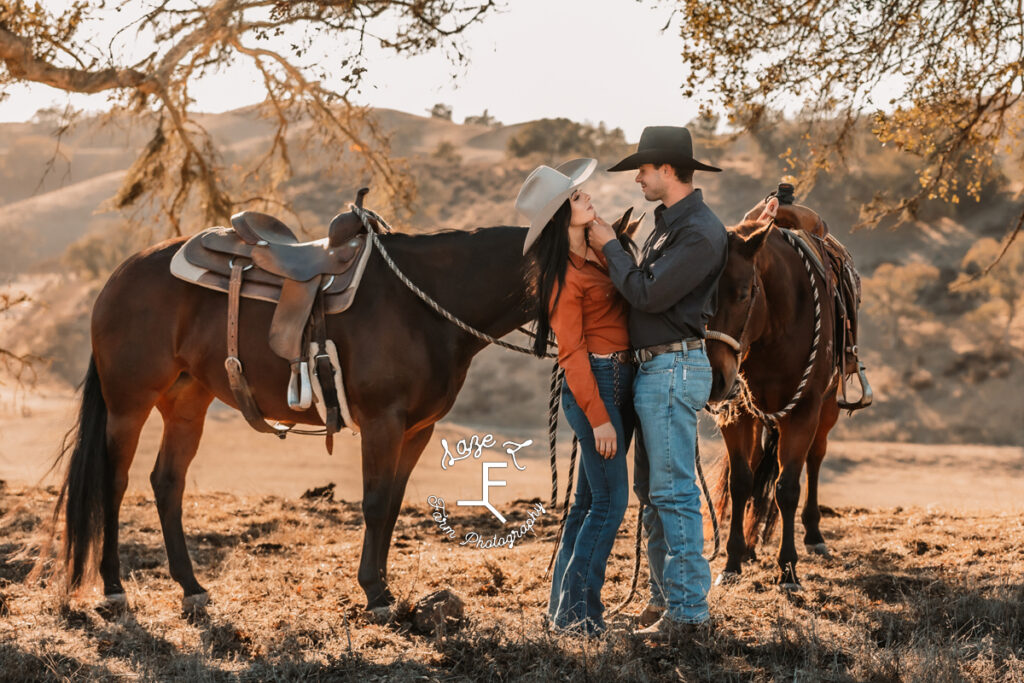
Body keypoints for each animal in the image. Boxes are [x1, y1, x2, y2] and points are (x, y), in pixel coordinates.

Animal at [51, 220, 540, 614]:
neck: (421, 303)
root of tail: (122, 273)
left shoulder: (417, 429)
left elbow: (393, 505)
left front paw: (383, 587)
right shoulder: (383, 423)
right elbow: (375, 504)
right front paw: (374, 594)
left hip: (187, 402)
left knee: (167, 481)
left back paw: (191, 588)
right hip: (128, 404)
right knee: (114, 483)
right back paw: (113, 588)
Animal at [708, 196, 843, 589]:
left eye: (743, 294)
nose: (715, 379)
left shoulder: (804, 412)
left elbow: (787, 488)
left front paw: (788, 569)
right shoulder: (737, 413)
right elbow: (741, 482)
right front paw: (732, 561)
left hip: (827, 410)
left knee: (815, 459)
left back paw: (814, 536)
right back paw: (751, 547)